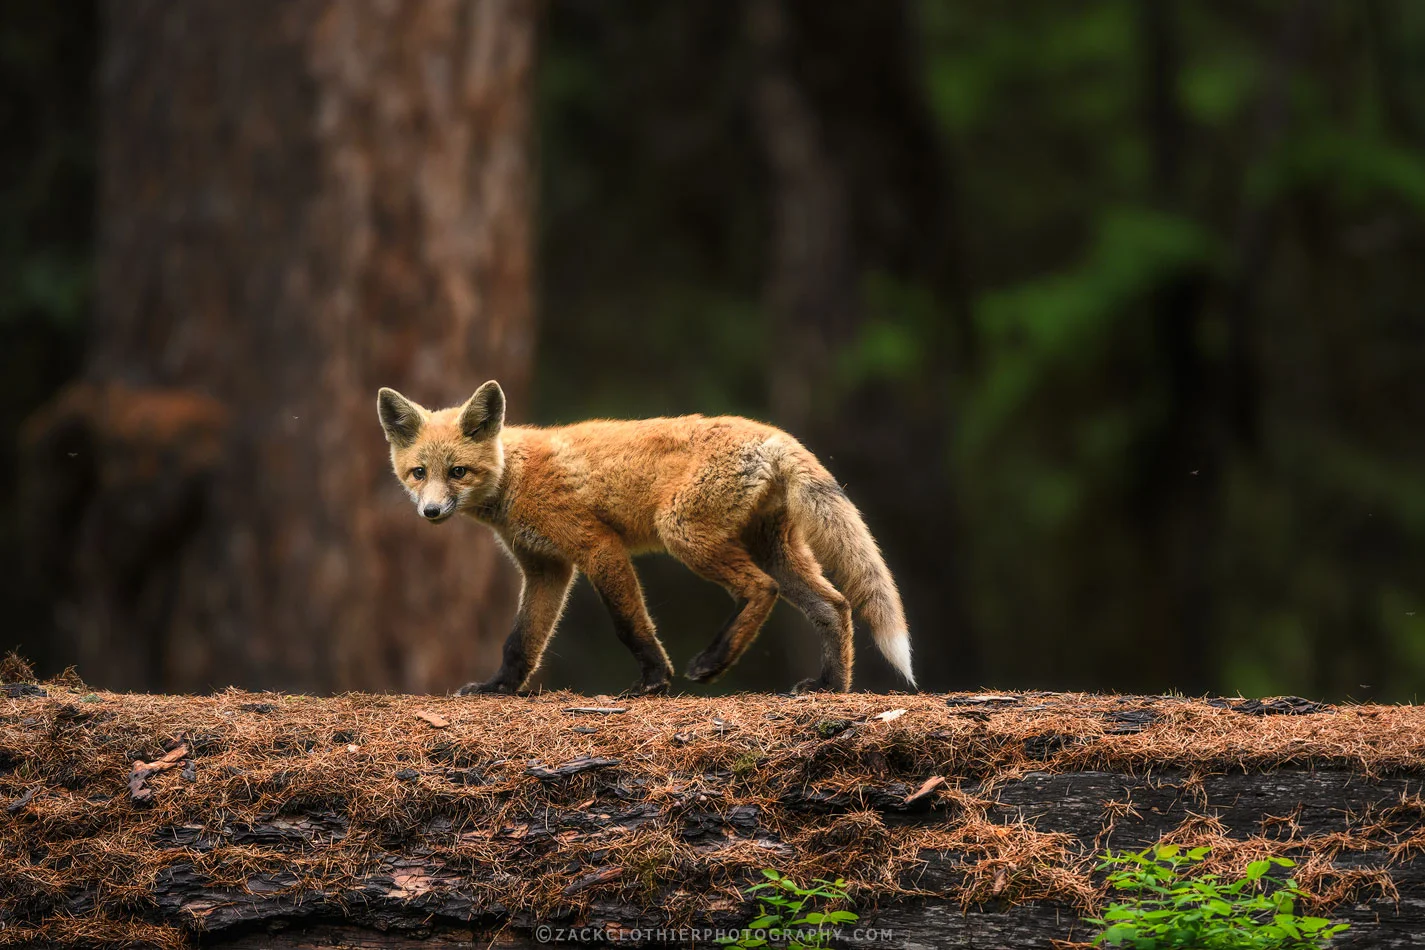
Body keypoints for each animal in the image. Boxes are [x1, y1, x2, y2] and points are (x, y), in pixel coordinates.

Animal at [376, 380, 914, 696]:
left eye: (458, 472)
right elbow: (521, 641)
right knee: (834, 605)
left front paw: (655, 679)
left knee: (763, 589)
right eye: (419, 473)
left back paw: (713, 662)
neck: (516, 476)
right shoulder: (546, 568)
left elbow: (630, 625)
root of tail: (774, 434)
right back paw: (830, 686)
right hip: (773, 548)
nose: (430, 512)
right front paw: (499, 687)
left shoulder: (597, 547)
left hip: (683, 533)